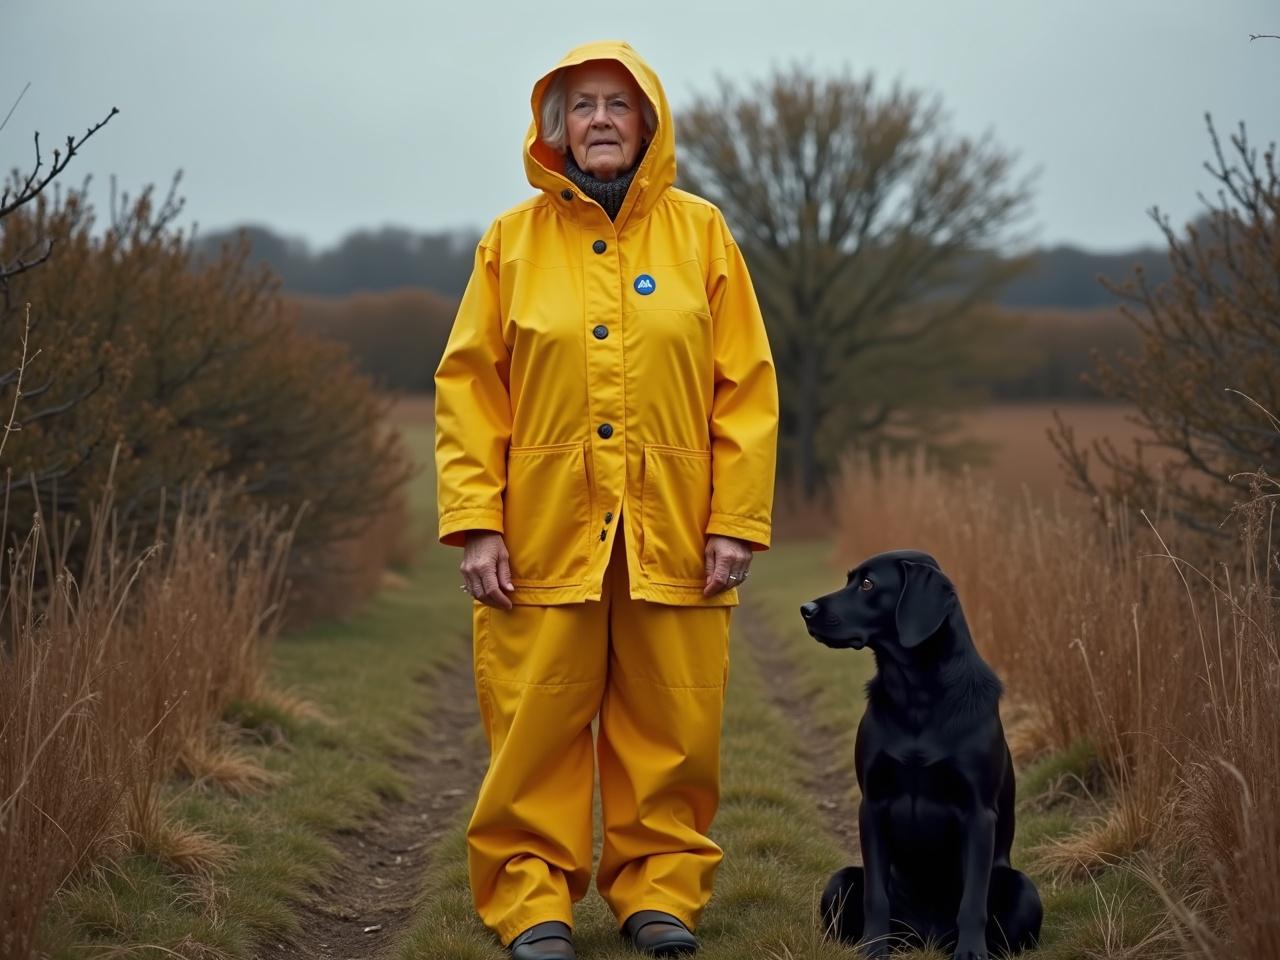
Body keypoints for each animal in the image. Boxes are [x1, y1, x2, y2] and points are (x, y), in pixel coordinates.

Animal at [798, 552, 1039, 957]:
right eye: (850, 580)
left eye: (868, 584)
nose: (806, 609)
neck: (916, 694)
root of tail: (926, 937)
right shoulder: (872, 804)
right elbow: (876, 897)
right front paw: (873, 948)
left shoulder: (978, 812)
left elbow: (972, 901)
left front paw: (970, 952)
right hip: (839, 882)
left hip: (1024, 890)